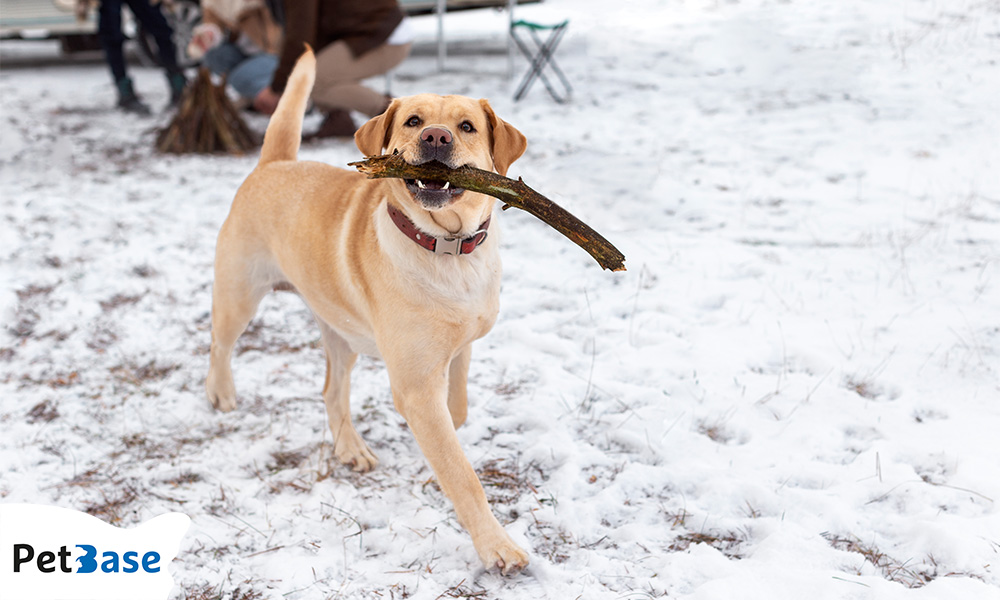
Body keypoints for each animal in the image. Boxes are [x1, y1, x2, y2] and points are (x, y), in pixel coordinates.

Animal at [205, 49, 532, 576]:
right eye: (413, 120)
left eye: (466, 127)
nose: (435, 137)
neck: (446, 247)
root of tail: (276, 163)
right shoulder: (415, 386)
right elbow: (462, 473)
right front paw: (495, 545)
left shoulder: (458, 350)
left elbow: (457, 415)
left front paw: (431, 471)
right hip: (241, 293)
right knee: (218, 343)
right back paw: (221, 393)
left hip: (342, 332)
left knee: (331, 390)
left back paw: (350, 448)